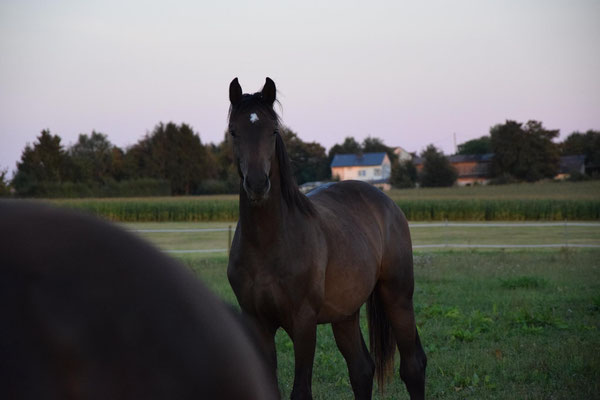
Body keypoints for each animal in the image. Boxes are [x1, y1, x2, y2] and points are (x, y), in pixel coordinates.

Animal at [226, 76, 426, 398]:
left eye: (273, 131)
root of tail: (386, 202)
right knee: (361, 369)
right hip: (345, 314)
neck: (269, 244)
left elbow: (301, 391)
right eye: (234, 131)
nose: (257, 184)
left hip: (397, 296)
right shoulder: (257, 323)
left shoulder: (304, 323)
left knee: (413, 366)